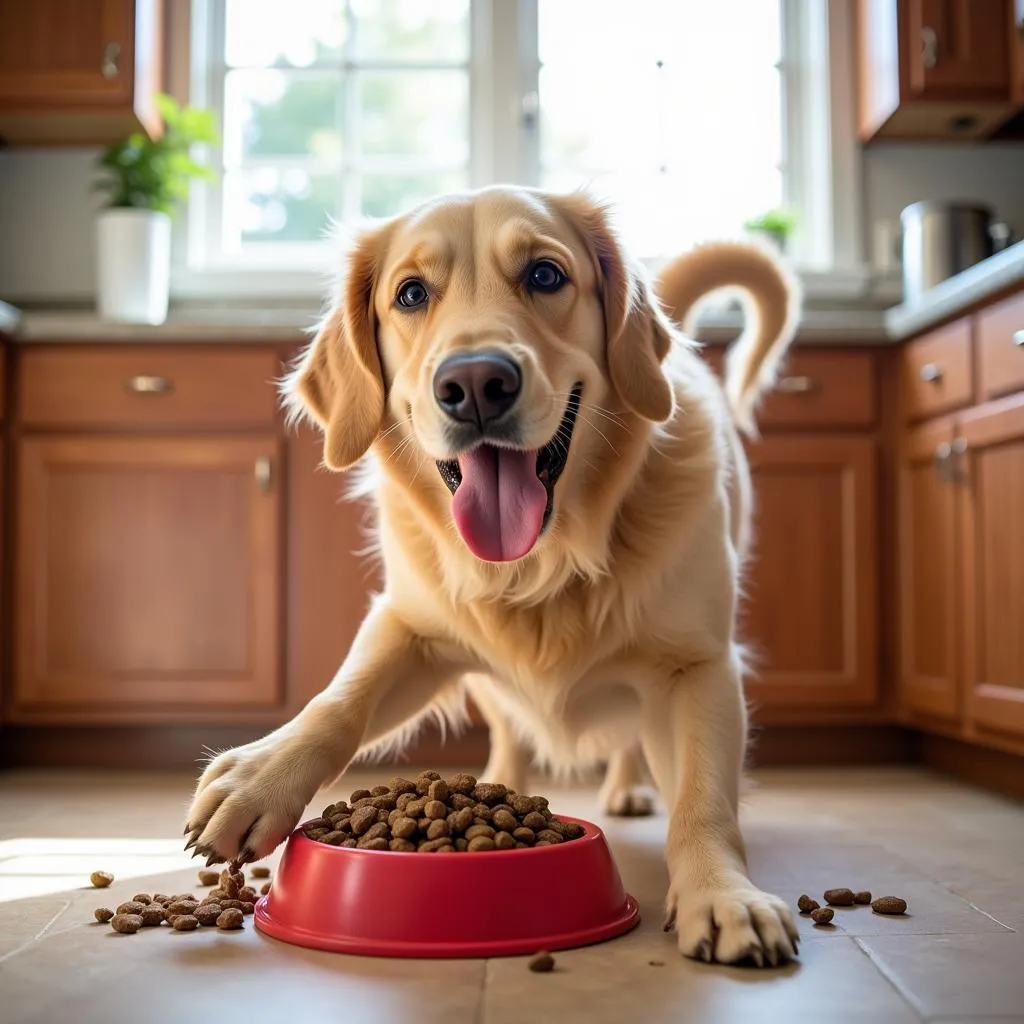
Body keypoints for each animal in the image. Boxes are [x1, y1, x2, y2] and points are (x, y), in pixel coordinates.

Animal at [188, 186, 802, 966]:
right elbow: (339, 702)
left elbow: (704, 798)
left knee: (633, 741)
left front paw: (723, 895)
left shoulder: (699, 665)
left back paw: (629, 788)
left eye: (545, 274)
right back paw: (500, 780)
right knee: (510, 726)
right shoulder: (412, 626)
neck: (544, 564)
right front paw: (258, 779)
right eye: (410, 293)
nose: (475, 383)